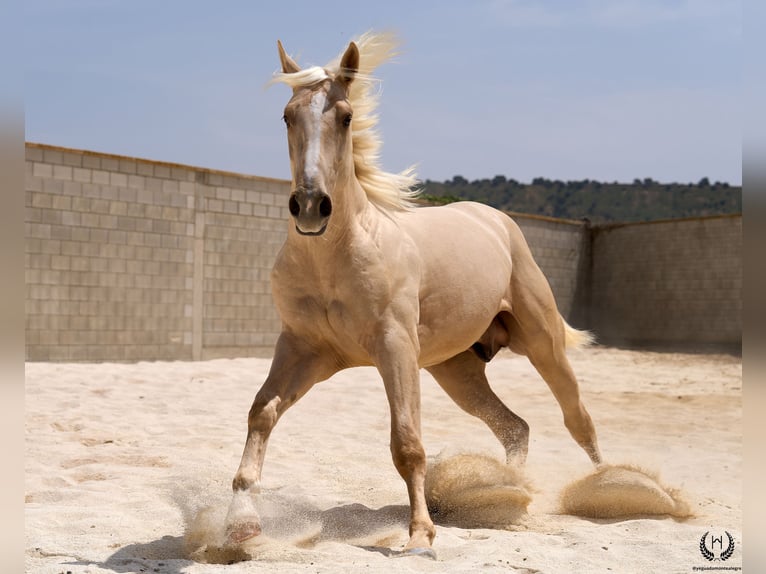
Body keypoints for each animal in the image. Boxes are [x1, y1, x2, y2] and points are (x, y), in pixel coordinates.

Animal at [224, 32, 602, 559]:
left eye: (346, 116)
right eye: (287, 115)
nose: (311, 206)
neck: (338, 256)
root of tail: (496, 220)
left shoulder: (394, 347)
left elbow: (407, 443)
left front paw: (421, 536)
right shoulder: (305, 350)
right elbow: (262, 412)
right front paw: (239, 527)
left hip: (542, 344)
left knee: (577, 418)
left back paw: (613, 488)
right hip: (457, 371)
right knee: (515, 427)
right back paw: (507, 493)